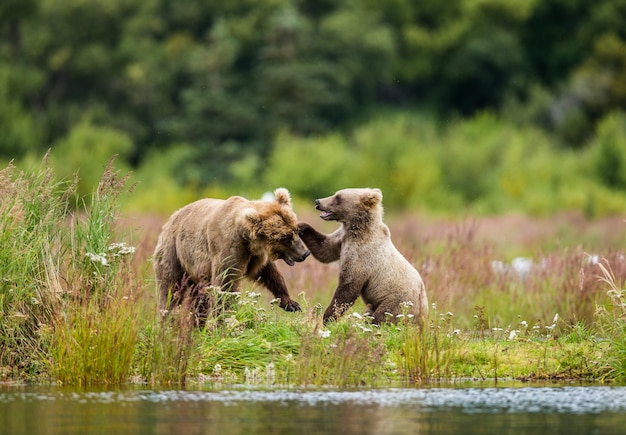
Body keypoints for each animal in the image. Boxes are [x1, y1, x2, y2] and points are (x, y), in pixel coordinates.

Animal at [154, 188, 310, 320]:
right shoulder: (229, 249)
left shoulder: (256, 255)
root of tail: (172, 217)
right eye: (285, 238)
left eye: (297, 230)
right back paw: (166, 319)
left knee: (199, 300)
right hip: (173, 252)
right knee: (170, 290)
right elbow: (225, 284)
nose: (305, 253)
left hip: (196, 275)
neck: (248, 239)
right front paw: (223, 318)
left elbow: (269, 273)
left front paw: (291, 303)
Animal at [296, 187, 424, 324]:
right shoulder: (342, 238)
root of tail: (424, 312)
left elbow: (348, 286)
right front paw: (300, 225)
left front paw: (328, 317)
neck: (357, 230)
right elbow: (324, 249)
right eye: (335, 194)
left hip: (396, 301)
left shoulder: (362, 255)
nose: (318, 201)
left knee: (382, 317)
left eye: (338, 197)